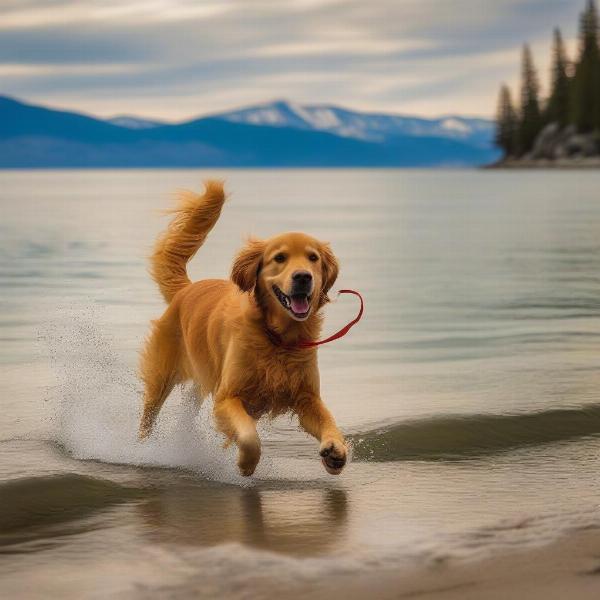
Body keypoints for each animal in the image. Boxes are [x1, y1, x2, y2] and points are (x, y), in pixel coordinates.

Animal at [139, 180, 346, 476]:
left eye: (313, 258)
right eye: (280, 258)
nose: (303, 277)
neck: (277, 338)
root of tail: (187, 288)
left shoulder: (306, 397)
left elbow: (327, 420)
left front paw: (335, 452)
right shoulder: (228, 397)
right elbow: (248, 437)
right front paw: (245, 464)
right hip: (161, 376)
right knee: (149, 414)